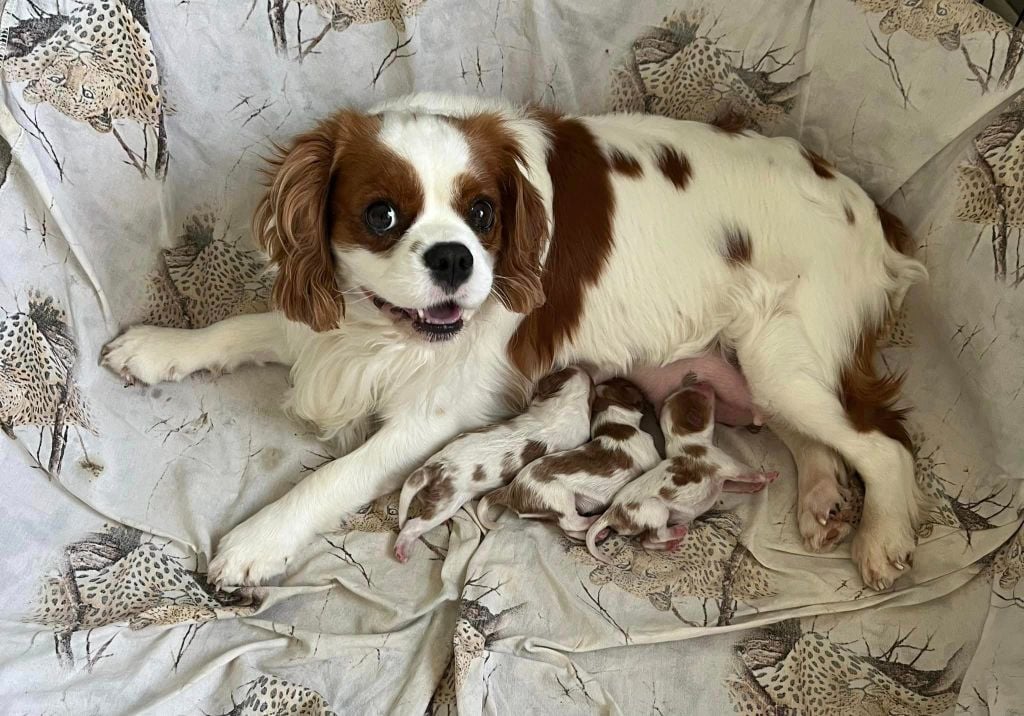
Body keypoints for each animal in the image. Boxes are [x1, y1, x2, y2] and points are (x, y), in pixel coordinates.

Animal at [475, 381, 659, 536]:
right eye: (627, 385)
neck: (614, 423)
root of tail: (511, 489)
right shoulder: (652, 457)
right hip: (560, 497)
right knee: (572, 523)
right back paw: (594, 521)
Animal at [585, 378, 774, 561]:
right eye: (697, 396)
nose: (703, 382)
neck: (681, 439)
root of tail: (611, 512)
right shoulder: (729, 465)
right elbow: (750, 473)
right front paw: (769, 476)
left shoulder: (721, 482)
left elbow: (735, 485)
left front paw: (754, 488)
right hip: (657, 510)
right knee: (656, 535)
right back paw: (678, 531)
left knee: (646, 540)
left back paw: (670, 544)